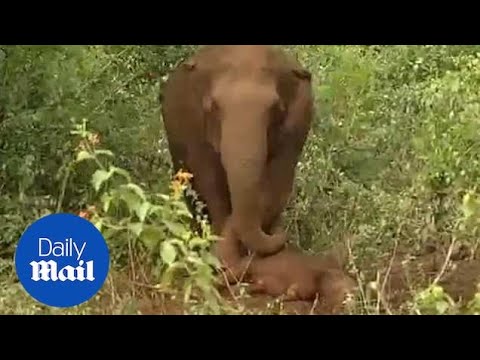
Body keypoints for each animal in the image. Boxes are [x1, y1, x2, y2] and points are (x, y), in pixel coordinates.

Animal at [159, 45, 314, 256]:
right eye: (214, 107)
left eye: (275, 108)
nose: (282, 235)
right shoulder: (191, 126)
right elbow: (209, 182)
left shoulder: (296, 127)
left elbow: (277, 182)